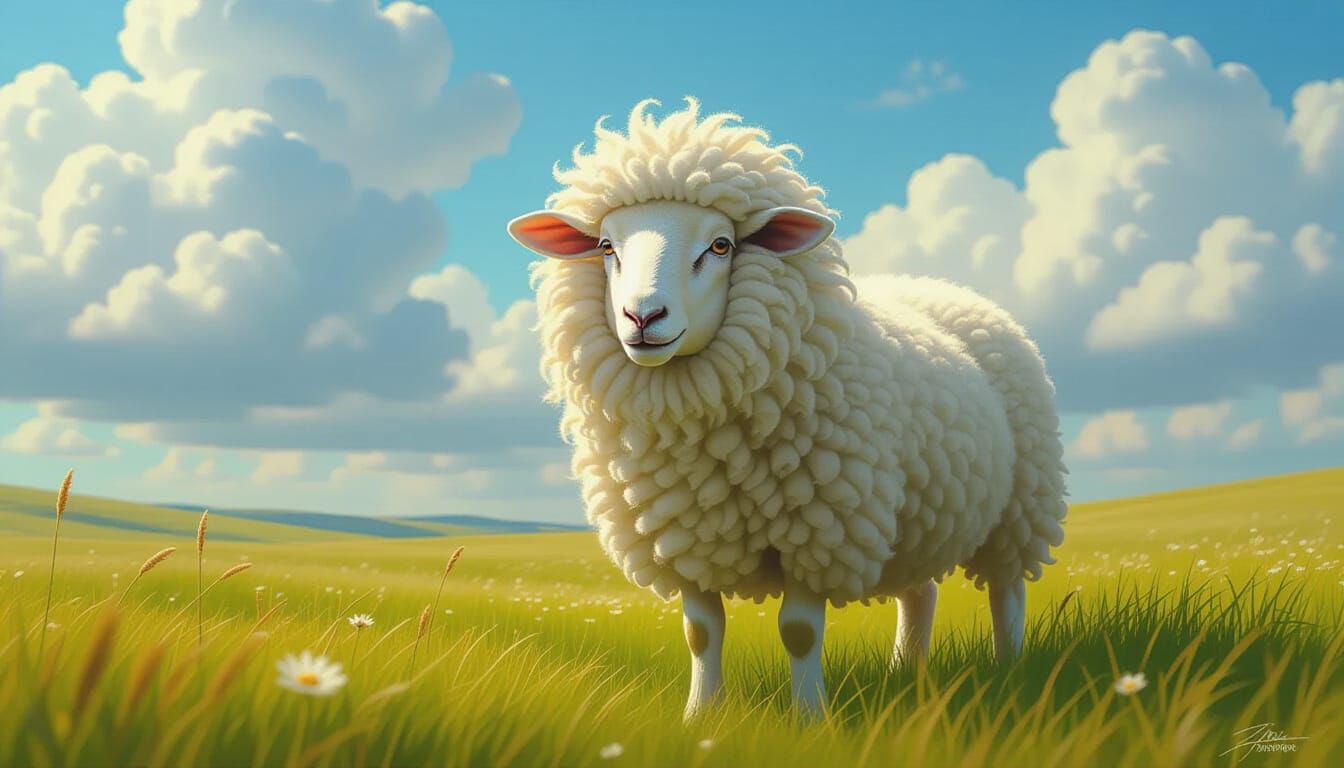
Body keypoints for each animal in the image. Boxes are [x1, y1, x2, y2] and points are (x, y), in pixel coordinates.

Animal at [507, 99, 1067, 718]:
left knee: (1007, 591)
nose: (643, 317)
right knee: (919, 591)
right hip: (914, 517)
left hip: (1021, 506)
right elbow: (700, 633)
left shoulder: (820, 529)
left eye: (720, 245)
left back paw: (1009, 669)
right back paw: (905, 672)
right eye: (607, 248)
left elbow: (799, 631)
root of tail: (943, 288)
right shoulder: (683, 536)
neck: (707, 448)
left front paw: (809, 718)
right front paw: (700, 714)